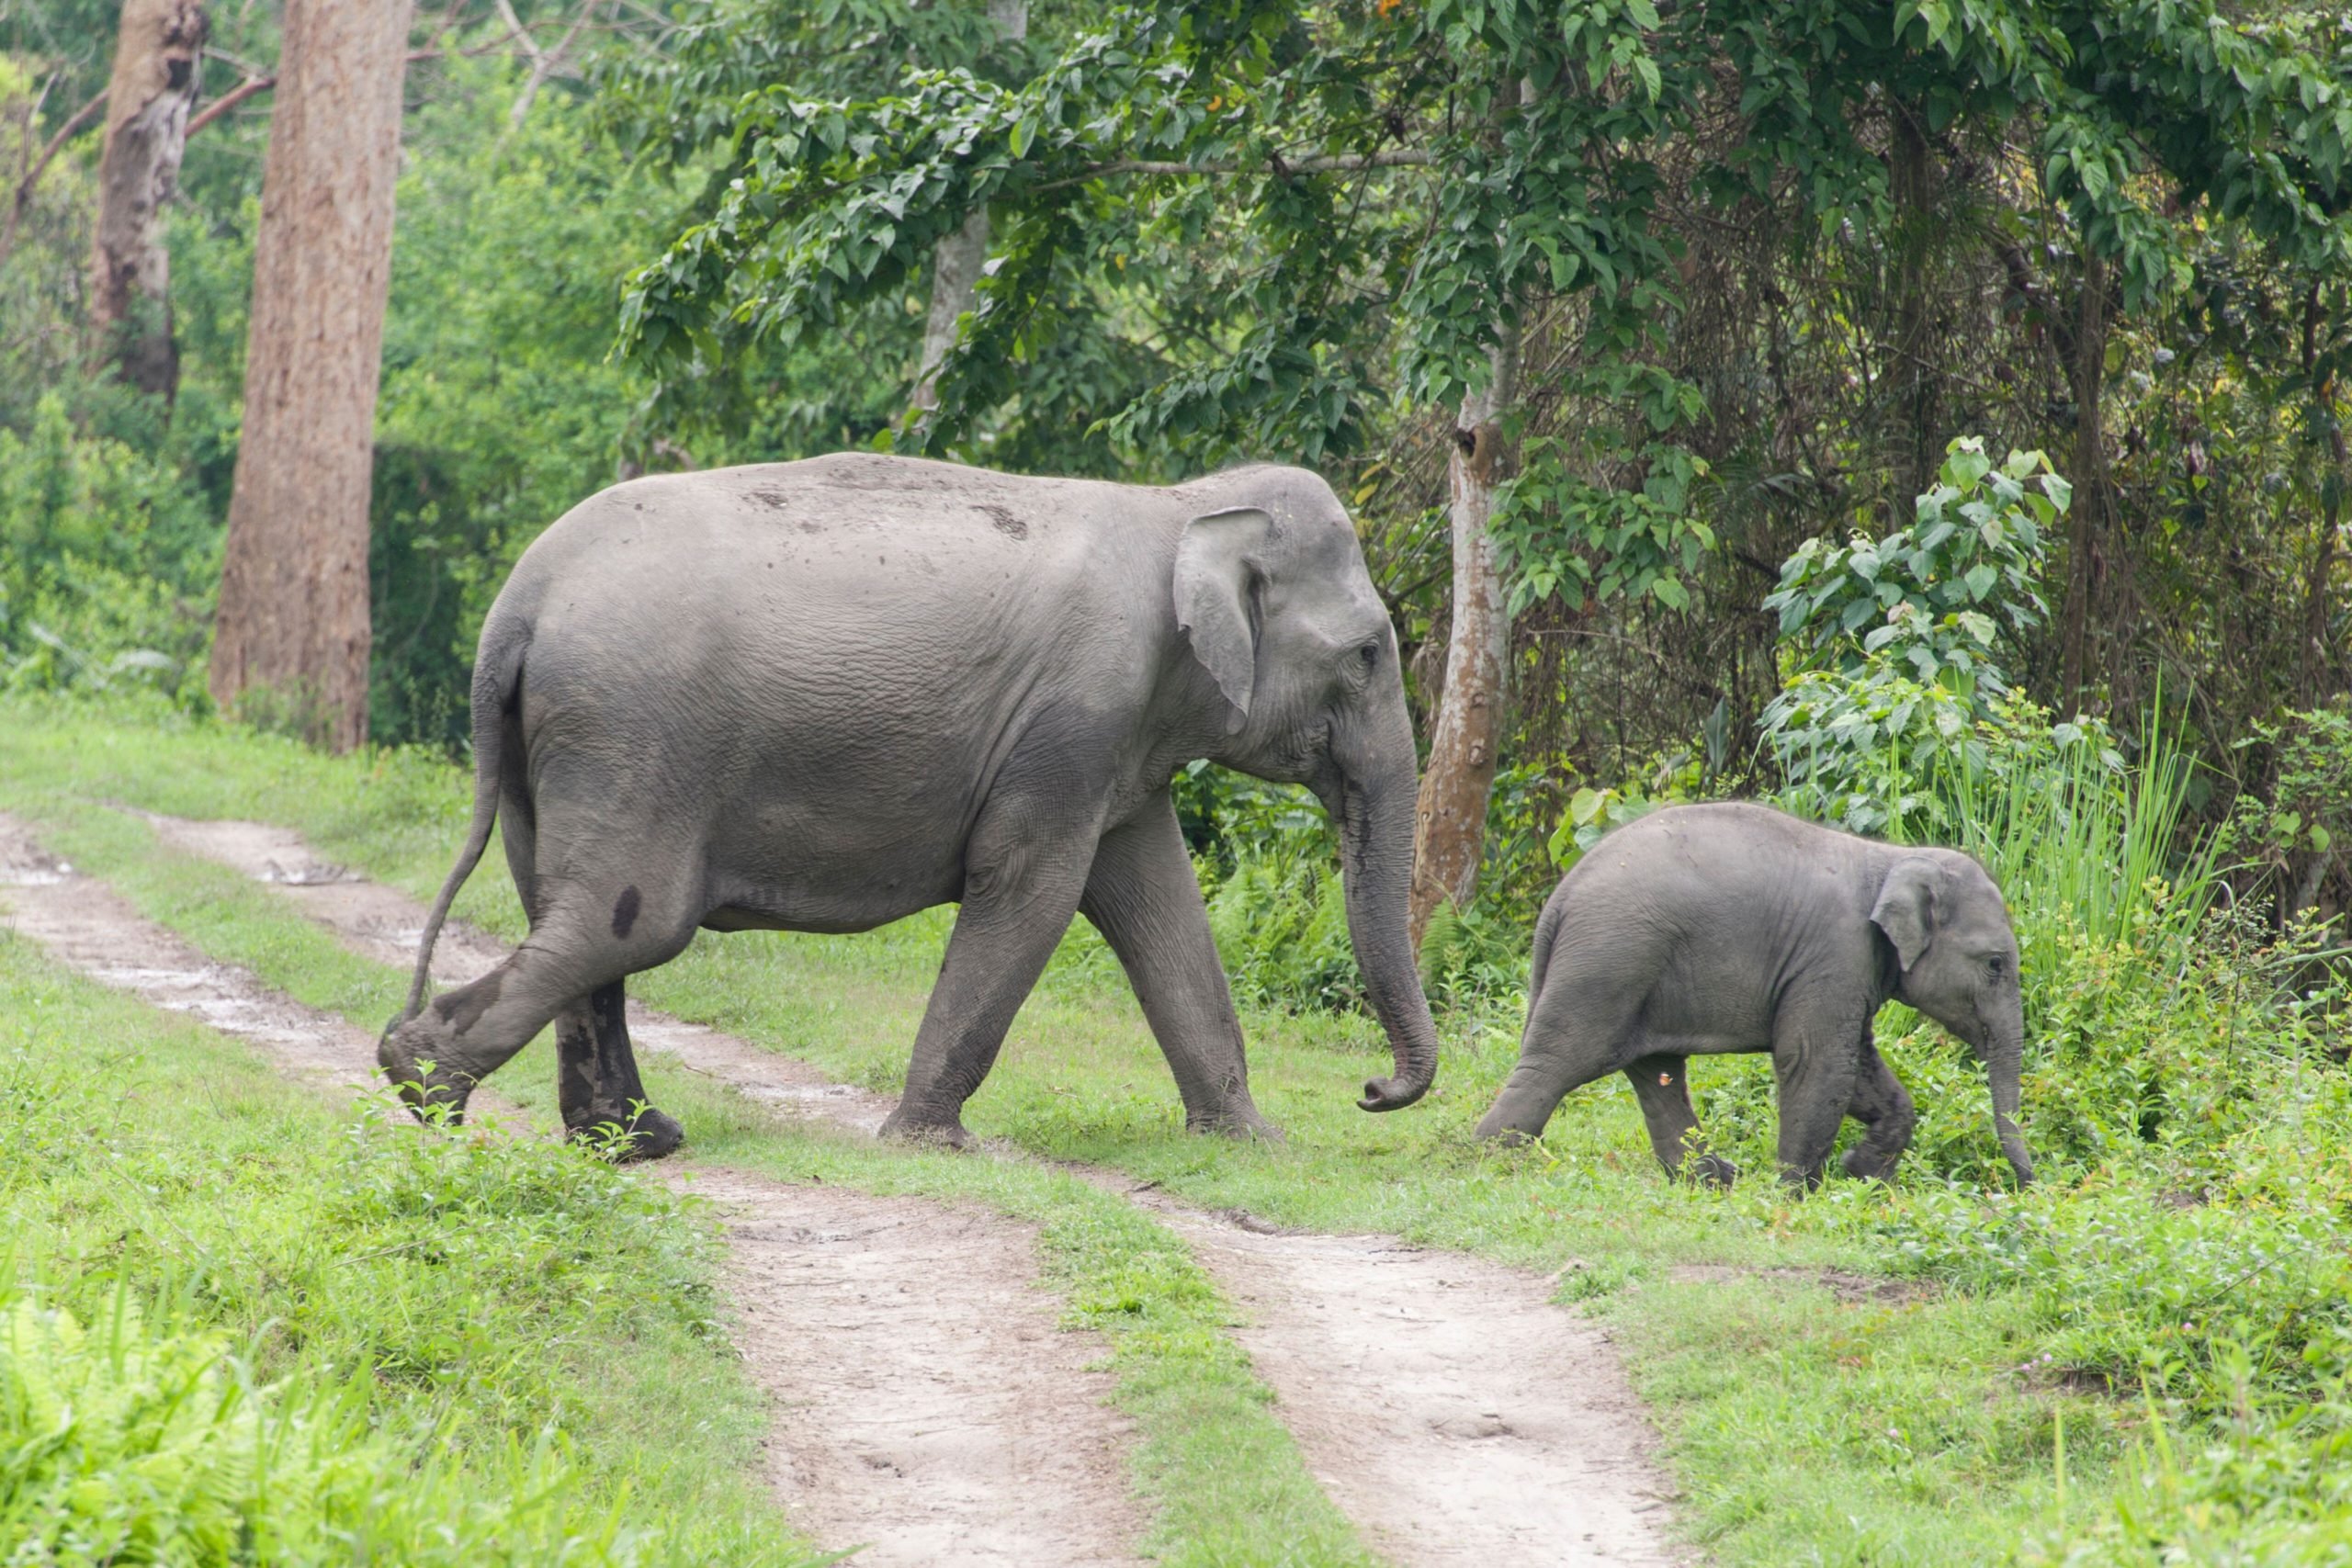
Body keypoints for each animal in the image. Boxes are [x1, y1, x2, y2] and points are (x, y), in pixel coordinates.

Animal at [379, 451, 1439, 1152]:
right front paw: (931, 1142)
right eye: (1366, 654)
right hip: (633, 735)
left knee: (565, 914)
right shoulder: (1074, 719)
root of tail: (517, 606)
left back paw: (634, 1139)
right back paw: (421, 1083)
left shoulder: (1117, 742)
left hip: (559, 750)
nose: (1371, 1089)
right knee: (623, 922)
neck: (1185, 504)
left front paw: (1250, 1142)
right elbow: (1034, 893)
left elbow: (1155, 903)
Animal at [1476, 804, 2031, 1184]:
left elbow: (1857, 1064)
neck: (1891, 858)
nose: (2028, 1186)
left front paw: (1860, 1173)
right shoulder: (1834, 954)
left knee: (1656, 1074)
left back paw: (1712, 1179)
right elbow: (1817, 1060)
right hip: (1609, 962)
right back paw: (1491, 1159)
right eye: (1995, 965)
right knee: (1559, 1062)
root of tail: (1559, 899)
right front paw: (1797, 1192)